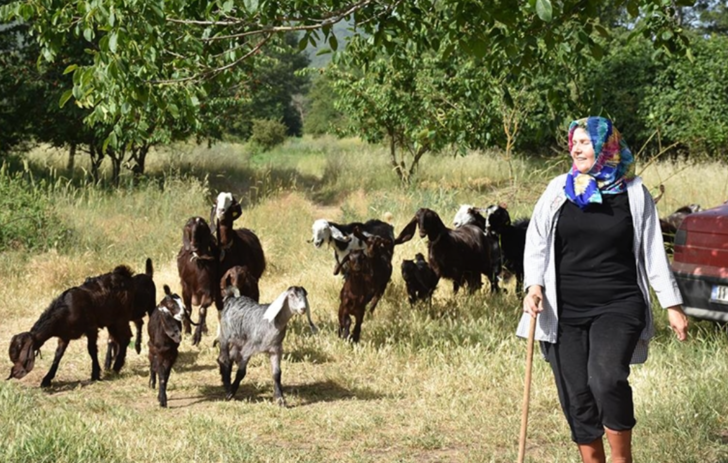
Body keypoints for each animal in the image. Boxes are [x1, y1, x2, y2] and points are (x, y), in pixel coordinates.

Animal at [7, 264, 143, 388]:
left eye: (18, 354)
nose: (16, 373)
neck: (66, 310)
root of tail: (124, 274)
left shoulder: (91, 328)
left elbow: (92, 350)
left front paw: (95, 374)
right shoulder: (64, 336)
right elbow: (58, 355)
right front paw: (46, 379)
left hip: (121, 317)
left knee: (125, 338)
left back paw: (116, 366)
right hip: (111, 320)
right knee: (119, 338)